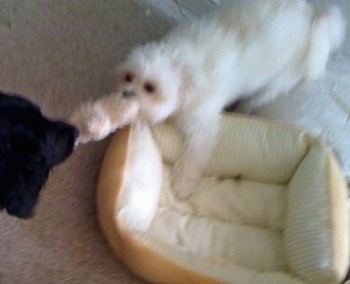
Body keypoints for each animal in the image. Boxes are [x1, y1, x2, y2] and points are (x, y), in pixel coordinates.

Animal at [114, 0, 344, 199]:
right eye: (128, 77)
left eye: (150, 87)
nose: (126, 94)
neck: (182, 69)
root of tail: (313, 17)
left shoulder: (202, 126)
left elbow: (193, 157)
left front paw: (183, 185)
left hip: (276, 82)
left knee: (258, 97)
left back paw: (242, 109)